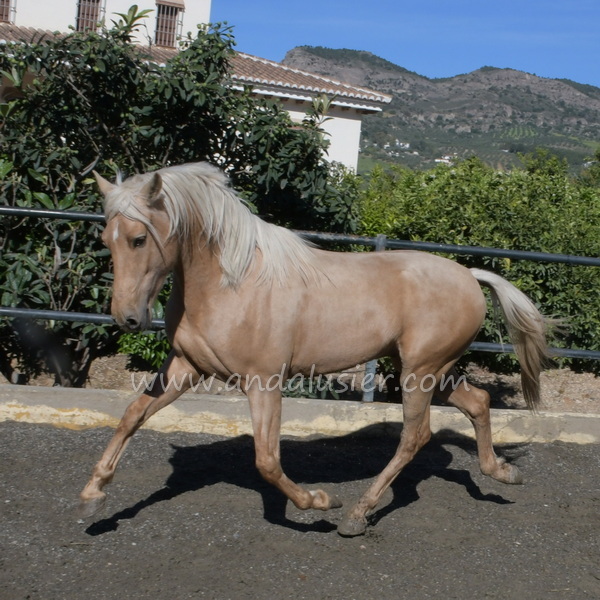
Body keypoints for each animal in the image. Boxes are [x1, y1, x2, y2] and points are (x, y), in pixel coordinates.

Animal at [78, 161, 550, 536]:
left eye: (138, 239)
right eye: (105, 238)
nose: (127, 318)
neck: (232, 283)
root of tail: (469, 275)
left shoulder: (263, 382)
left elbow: (267, 460)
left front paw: (321, 502)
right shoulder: (186, 368)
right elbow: (132, 415)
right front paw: (93, 493)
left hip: (421, 371)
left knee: (415, 436)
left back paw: (356, 515)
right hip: (430, 367)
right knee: (479, 403)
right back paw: (501, 472)